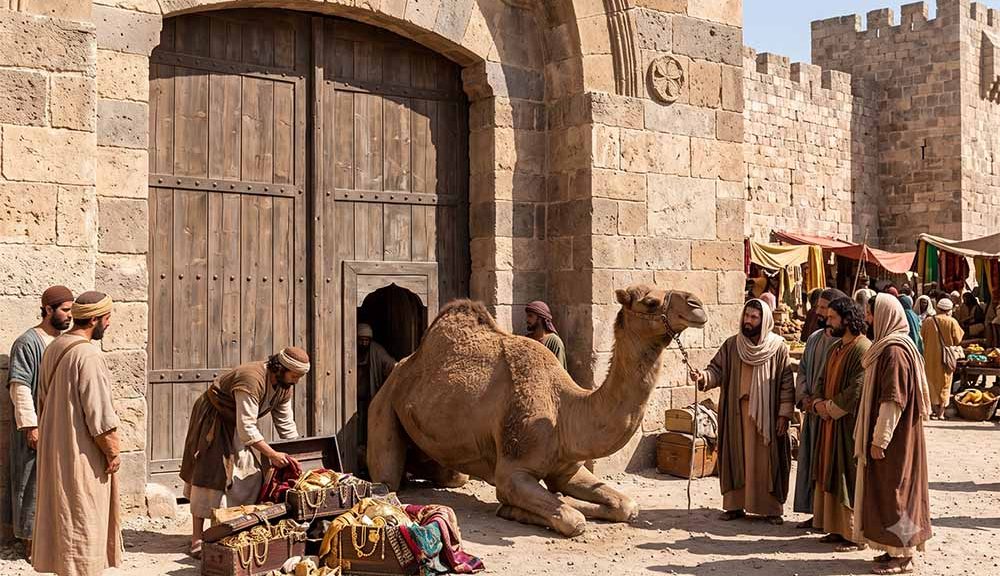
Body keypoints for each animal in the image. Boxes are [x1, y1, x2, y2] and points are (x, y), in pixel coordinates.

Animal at [367, 284, 708, 536]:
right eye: (650, 302)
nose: (697, 305)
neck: (564, 411)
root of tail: (400, 368)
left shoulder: (566, 467)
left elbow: (626, 506)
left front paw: (566, 500)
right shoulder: (512, 471)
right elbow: (572, 521)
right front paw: (511, 509)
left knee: (451, 474)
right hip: (383, 406)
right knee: (388, 480)